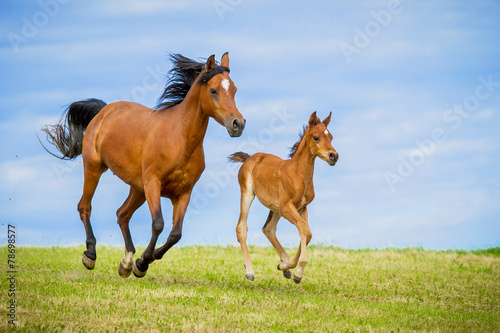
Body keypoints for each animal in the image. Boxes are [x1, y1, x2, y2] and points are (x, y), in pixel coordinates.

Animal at [42, 52, 245, 278]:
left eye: (234, 90)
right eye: (213, 90)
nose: (238, 124)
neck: (179, 139)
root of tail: (104, 110)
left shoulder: (184, 192)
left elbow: (175, 234)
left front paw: (141, 261)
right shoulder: (152, 184)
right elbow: (158, 224)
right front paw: (142, 263)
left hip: (137, 188)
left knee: (122, 214)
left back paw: (126, 262)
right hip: (95, 168)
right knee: (85, 207)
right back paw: (91, 254)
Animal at [229, 111, 338, 282]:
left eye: (331, 137)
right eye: (316, 137)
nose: (334, 156)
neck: (298, 174)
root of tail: (249, 158)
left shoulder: (302, 207)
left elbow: (307, 233)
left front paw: (287, 267)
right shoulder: (287, 207)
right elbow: (304, 229)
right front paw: (297, 273)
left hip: (275, 207)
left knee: (268, 228)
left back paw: (284, 264)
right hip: (248, 194)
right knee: (241, 227)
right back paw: (250, 271)